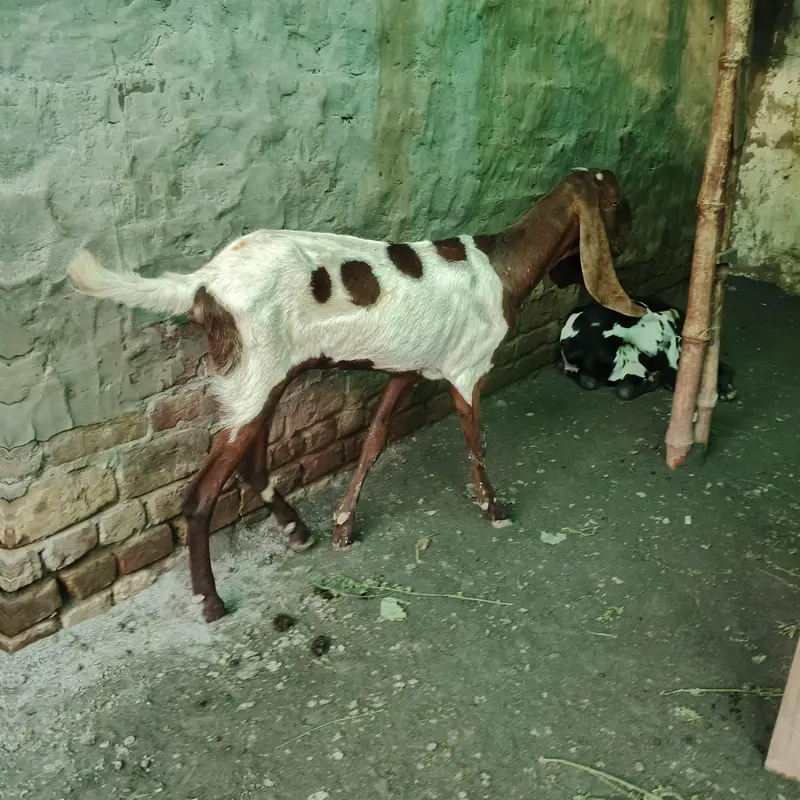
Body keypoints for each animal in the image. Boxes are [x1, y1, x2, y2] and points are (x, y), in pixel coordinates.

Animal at [67, 168, 644, 622]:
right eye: (618, 204)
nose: (631, 239)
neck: (502, 265)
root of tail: (205, 284)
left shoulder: (404, 370)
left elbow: (373, 440)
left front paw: (344, 526)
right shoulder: (467, 370)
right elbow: (475, 446)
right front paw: (494, 509)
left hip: (266, 379)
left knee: (252, 463)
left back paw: (298, 531)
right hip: (253, 380)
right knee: (200, 496)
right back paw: (209, 600)